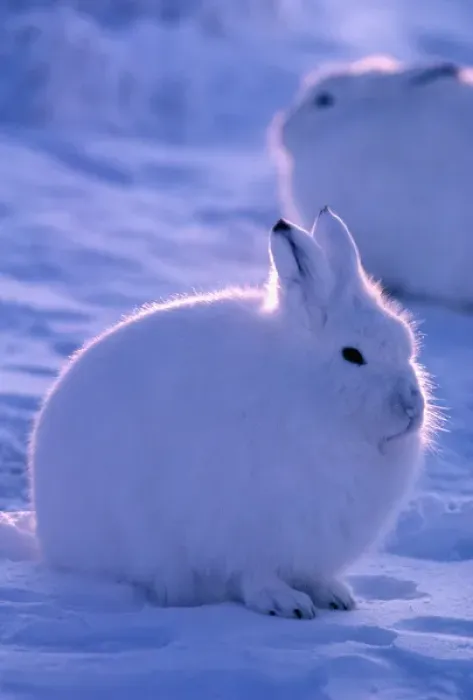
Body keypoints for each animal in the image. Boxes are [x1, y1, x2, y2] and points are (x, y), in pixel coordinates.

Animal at [30, 208, 431, 619]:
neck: (311, 392)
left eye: (406, 344)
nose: (412, 409)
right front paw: (286, 603)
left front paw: (334, 596)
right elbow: (255, 573)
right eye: (352, 355)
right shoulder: (246, 526)